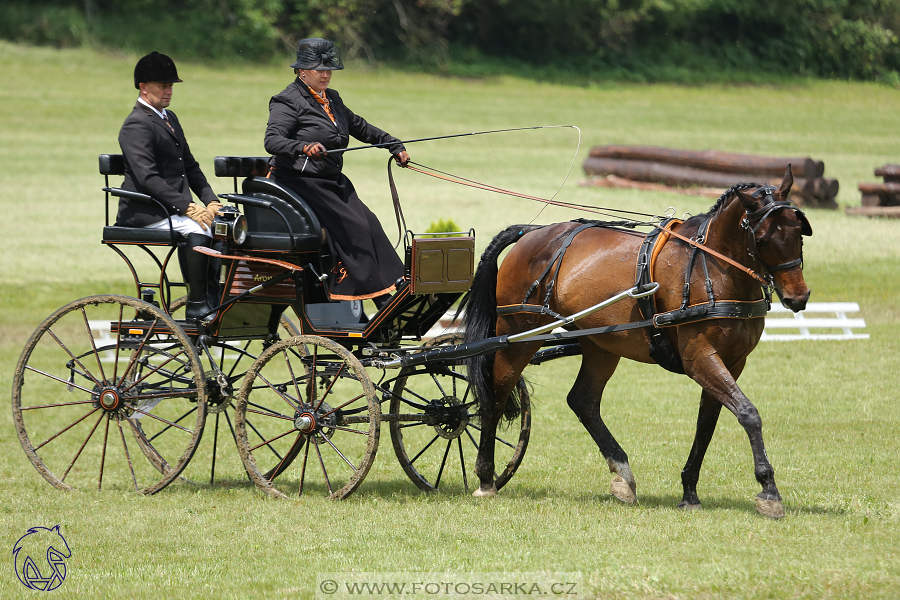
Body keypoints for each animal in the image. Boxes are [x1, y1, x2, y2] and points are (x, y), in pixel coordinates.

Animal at [460, 166, 812, 516]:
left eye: (798, 230)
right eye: (762, 238)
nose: (798, 297)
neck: (711, 266)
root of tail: (531, 232)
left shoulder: (733, 362)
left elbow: (708, 423)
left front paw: (689, 491)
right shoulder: (700, 358)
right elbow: (748, 413)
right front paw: (769, 490)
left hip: (600, 345)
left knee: (583, 401)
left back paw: (622, 475)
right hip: (519, 335)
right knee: (494, 398)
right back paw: (486, 479)